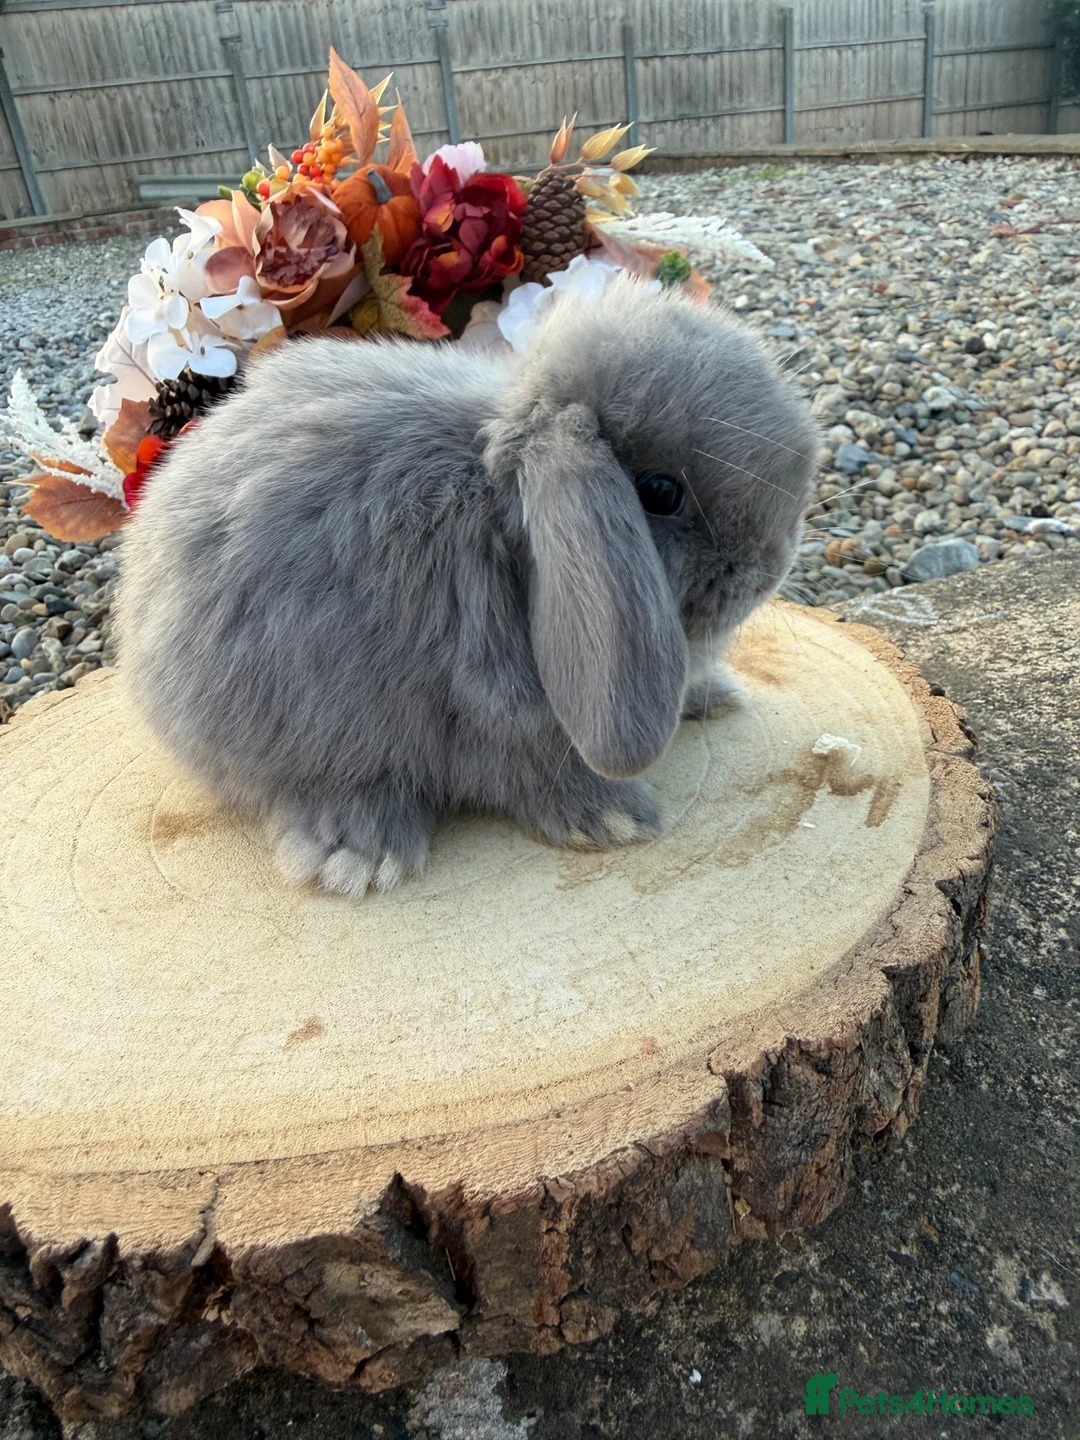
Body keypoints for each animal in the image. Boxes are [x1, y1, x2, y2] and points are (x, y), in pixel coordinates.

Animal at [116, 275, 819, 897]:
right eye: (660, 492)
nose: (769, 569)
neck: (509, 522)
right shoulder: (493, 712)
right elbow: (531, 773)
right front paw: (617, 818)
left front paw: (714, 693)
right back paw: (359, 854)